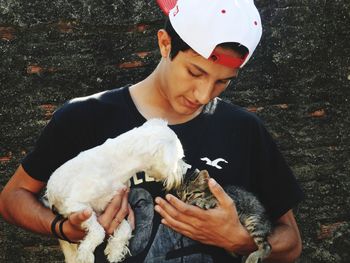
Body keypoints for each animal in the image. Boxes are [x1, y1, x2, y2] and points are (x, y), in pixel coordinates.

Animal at [46, 120, 186, 263]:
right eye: (179, 158)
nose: (185, 171)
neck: (115, 167)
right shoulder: (77, 205)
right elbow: (99, 232)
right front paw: (86, 254)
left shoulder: (108, 207)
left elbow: (126, 229)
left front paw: (115, 251)